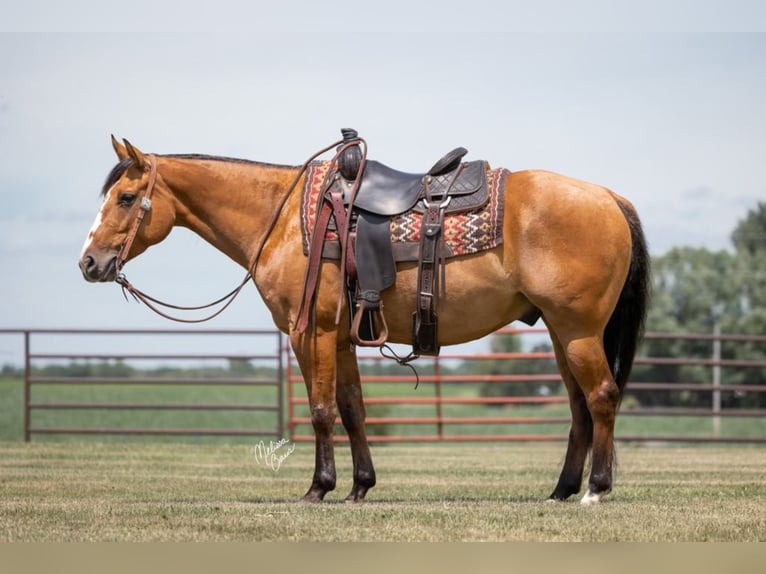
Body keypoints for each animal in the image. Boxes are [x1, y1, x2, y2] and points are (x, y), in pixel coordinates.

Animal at [78, 133, 652, 506]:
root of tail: (609, 196)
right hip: (560, 332)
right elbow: (353, 408)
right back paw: (561, 490)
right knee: (579, 406)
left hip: (578, 331)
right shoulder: (342, 339)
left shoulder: (310, 332)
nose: (89, 263)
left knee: (601, 397)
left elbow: (320, 410)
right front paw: (359, 486)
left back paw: (596, 490)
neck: (282, 220)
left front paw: (318, 488)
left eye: (125, 198)